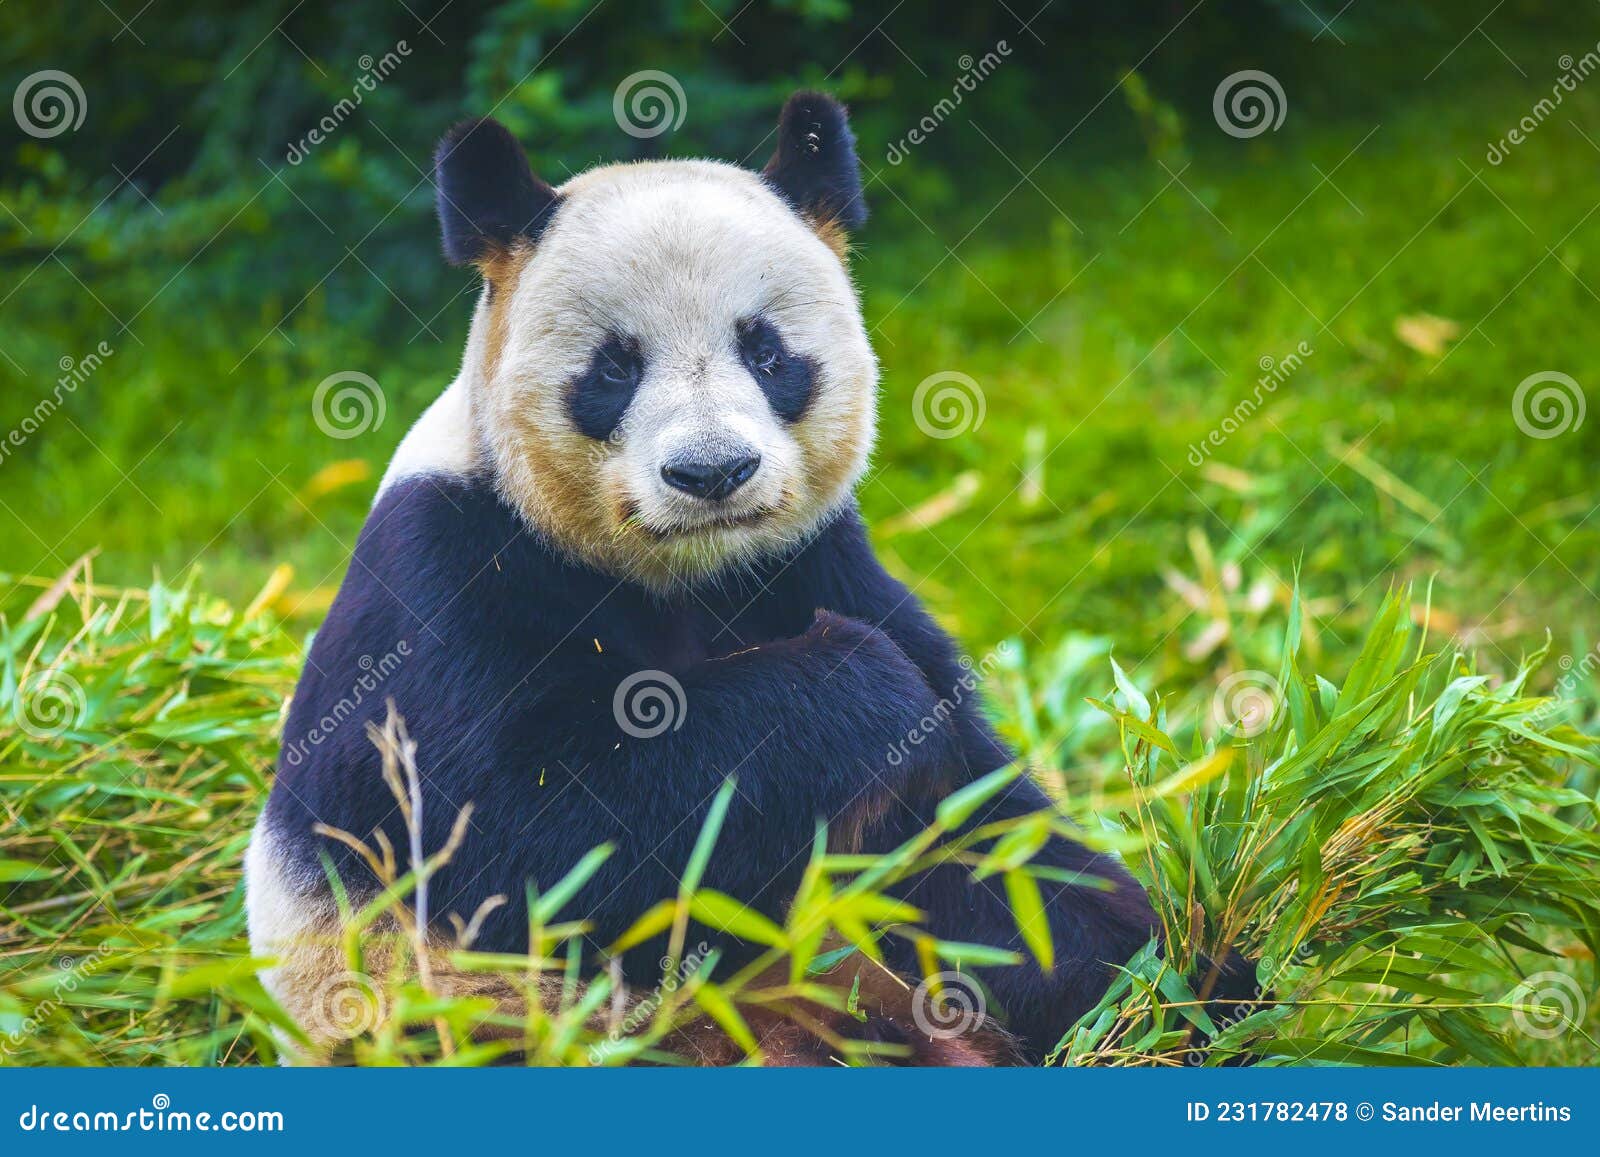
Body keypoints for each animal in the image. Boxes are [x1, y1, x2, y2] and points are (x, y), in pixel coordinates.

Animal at [246, 90, 1177, 1068]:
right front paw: (853, 680)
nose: (712, 472)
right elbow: (516, 831)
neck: (683, 574)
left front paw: (1162, 980)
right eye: (615, 366)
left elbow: (970, 836)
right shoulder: (444, 580)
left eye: (766, 352)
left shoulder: (809, 559)